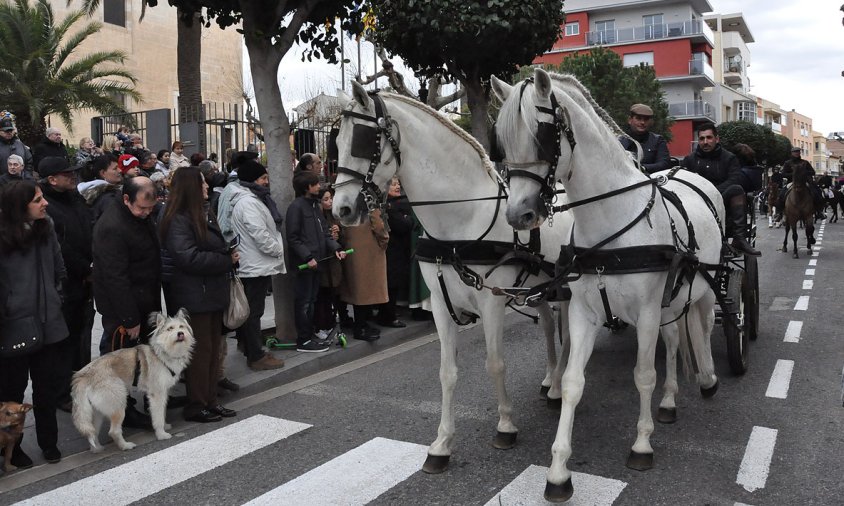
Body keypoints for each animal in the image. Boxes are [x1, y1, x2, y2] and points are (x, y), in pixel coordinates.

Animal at [72, 310, 195, 452]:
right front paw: (161, 434)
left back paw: (97, 449)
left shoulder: (163, 393)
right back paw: (125, 446)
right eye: (170, 329)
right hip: (118, 404)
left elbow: (162, 412)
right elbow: (158, 416)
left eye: (182, 327)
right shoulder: (157, 394)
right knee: (113, 431)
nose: (180, 333)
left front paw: (165, 426)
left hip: (97, 412)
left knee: (93, 431)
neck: (161, 353)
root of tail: (83, 375)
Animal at [334, 81, 572, 472]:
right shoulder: (440, 305)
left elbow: (495, 363)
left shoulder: (492, 301)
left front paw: (505, 426)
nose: (341, 210)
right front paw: (442, 444)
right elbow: (447, 372)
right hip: (540, 285)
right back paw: (551, 381)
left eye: (363, 140)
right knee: (551, 327)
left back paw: (558, 386)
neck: (463, 219)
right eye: (336, 142)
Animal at [492, 68, 724, 502]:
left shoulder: (646, 313)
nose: (518, 215)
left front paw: (642, 445)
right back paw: (670, 400)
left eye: (543, 135)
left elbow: (644, 374)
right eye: (501, 142)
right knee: (673, 342)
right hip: (670, 303)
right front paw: (558, 472)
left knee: (700, 326)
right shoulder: (583, 312)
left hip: (701, 286)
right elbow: (571, 381)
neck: (610, 223)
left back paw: (708, 377)